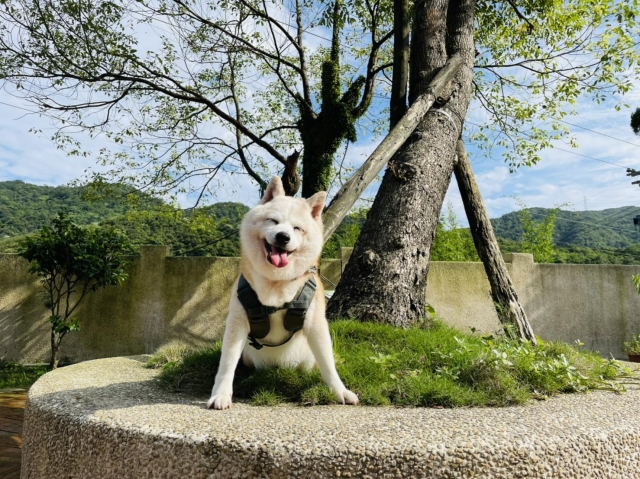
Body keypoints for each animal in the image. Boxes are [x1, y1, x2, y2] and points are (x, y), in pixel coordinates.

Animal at [210, 178, 360, 410]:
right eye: (273, 221)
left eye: (297, 228)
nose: (283, 236)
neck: (277, 283)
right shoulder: (237, 322)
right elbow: (227, 363)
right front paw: (221, 394)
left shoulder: (316, 323)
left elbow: (328, 364)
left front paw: (340, 391)